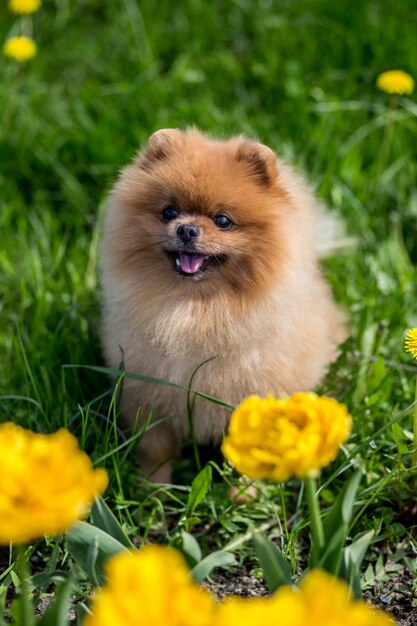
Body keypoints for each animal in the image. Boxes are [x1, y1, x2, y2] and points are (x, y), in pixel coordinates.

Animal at [100, 125, 344, 478]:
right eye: (169, 212)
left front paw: (243, 490)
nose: (187, 229)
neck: (193, 310)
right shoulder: (147, 396)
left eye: (223, 221)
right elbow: (156, 451)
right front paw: (153, 486)